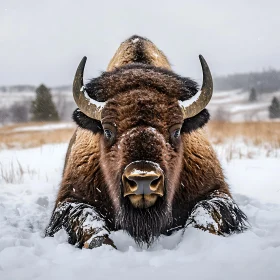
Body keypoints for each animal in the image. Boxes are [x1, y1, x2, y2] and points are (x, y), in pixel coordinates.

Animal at [45, 36, 247, 248]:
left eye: (177, 131)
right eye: (107, 130)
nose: (144, 179)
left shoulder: (216, 192)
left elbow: (205, 215)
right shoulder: (71, 198)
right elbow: (89, 221)